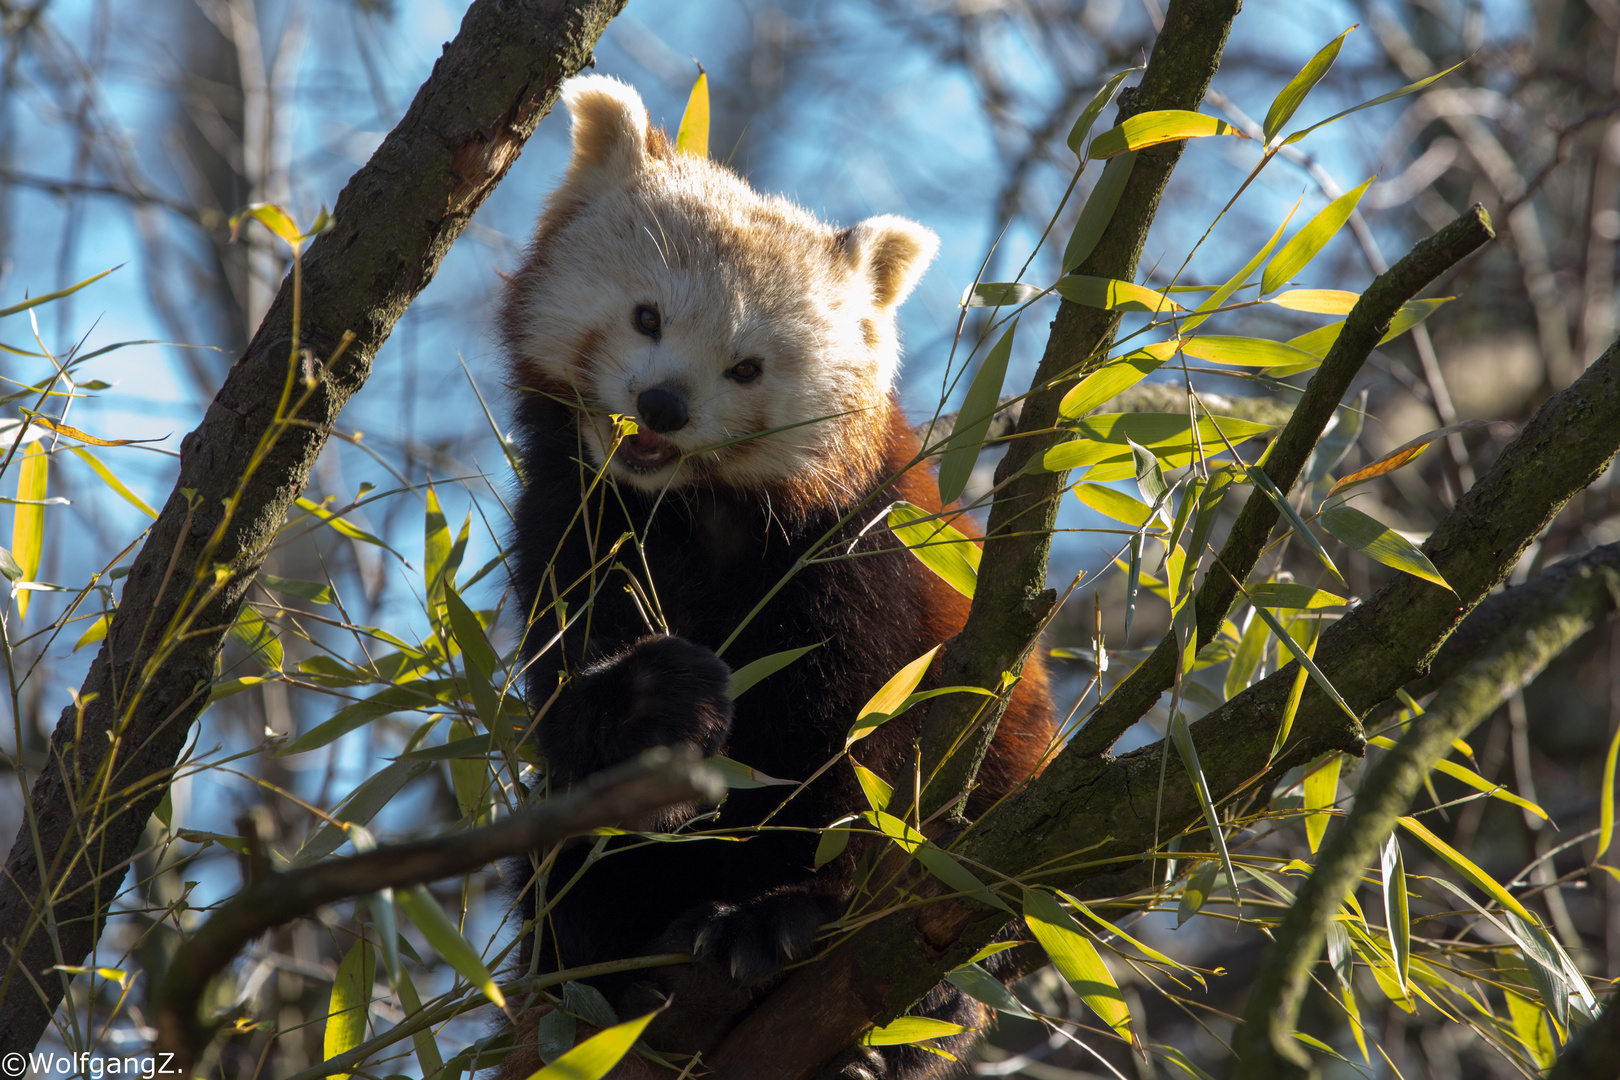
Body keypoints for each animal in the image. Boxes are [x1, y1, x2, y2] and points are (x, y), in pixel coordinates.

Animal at [495, 78, 1049, 1080]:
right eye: (647, 317)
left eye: (746, 367)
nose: (663, 405)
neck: (696, 509)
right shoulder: (571, 521)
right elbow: (572, 697)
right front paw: (660, 705)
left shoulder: (857, 557)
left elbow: (850, 750)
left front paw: (770, 912)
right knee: (568, 865)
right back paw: (602, 985)